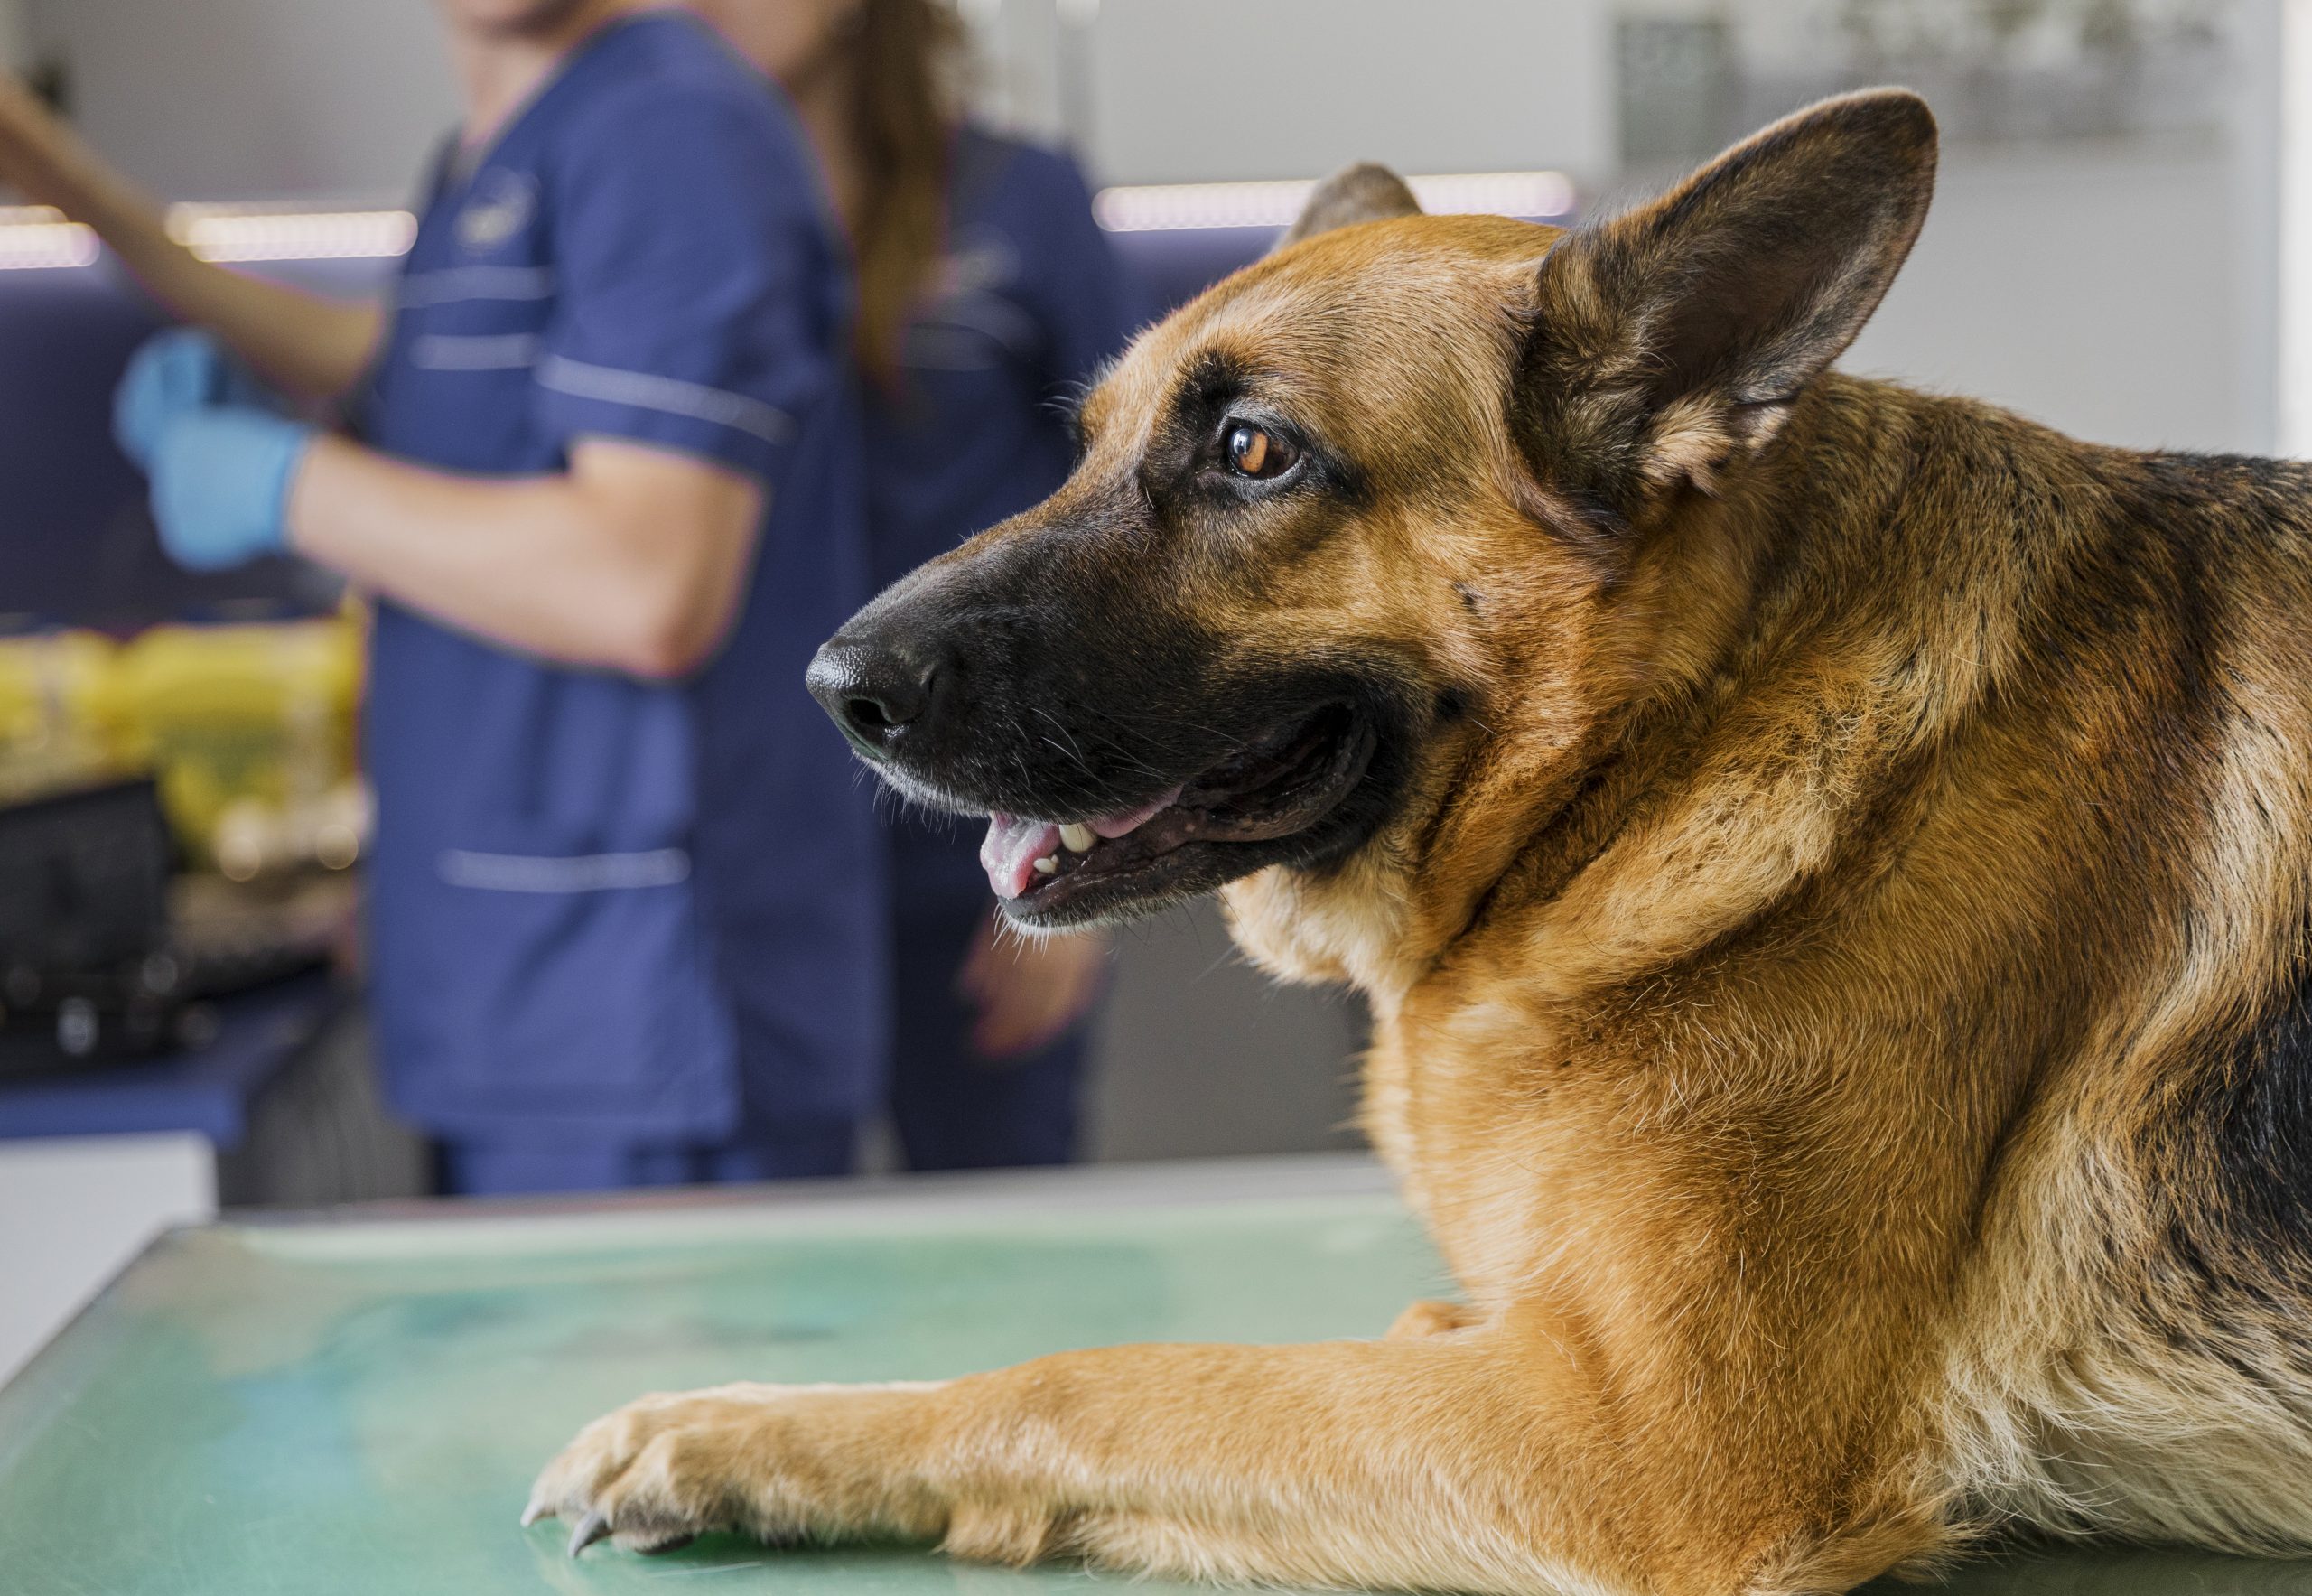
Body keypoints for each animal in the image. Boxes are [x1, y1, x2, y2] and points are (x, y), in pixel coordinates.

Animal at [531, 93, 2312, 1582]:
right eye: (1086, 442)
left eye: (1253, 451)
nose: (831, 689)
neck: (1670, 742)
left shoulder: (1645, 1453)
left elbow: (1100, 1379)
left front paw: (751, 1431)